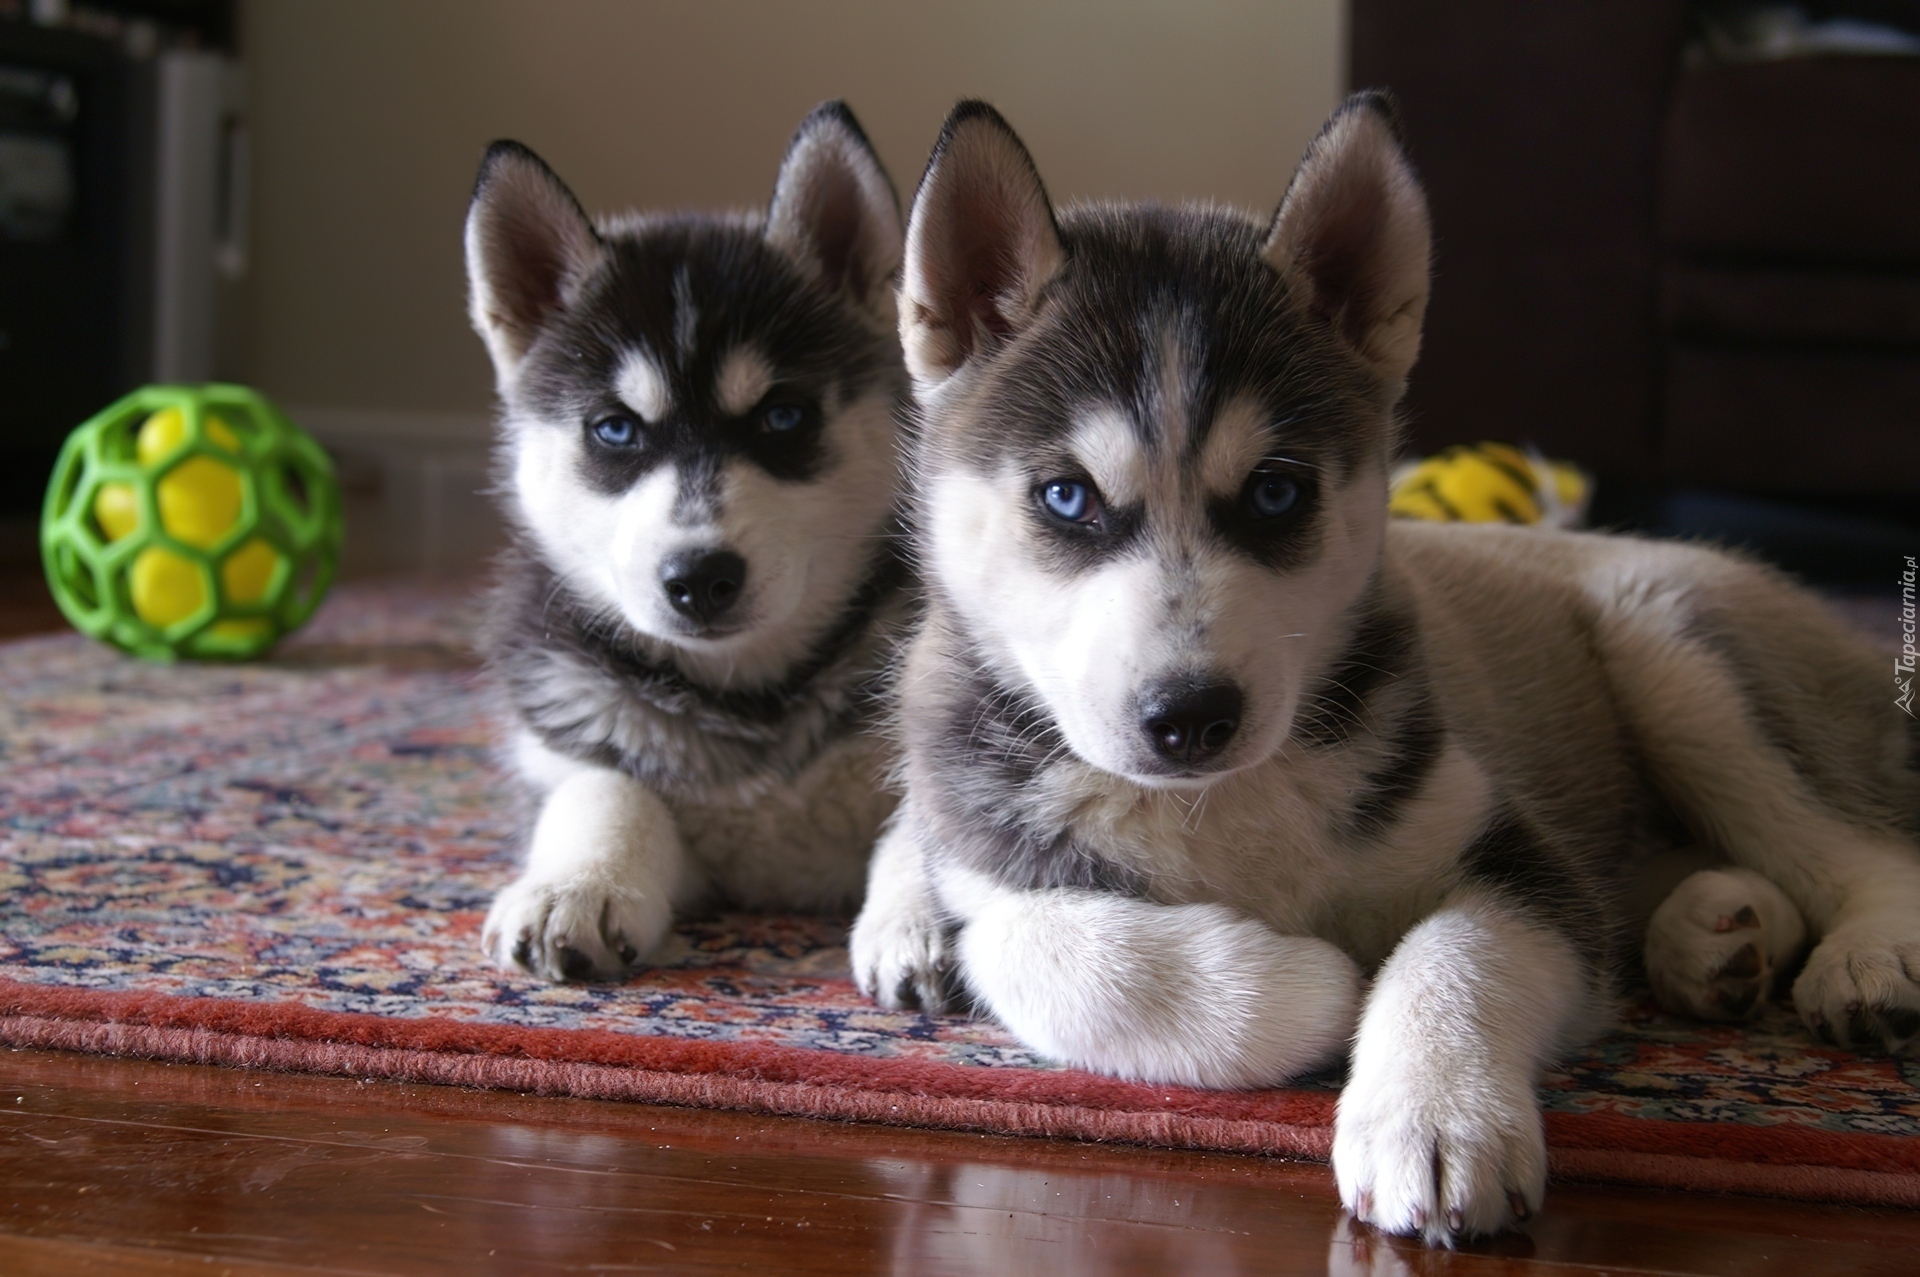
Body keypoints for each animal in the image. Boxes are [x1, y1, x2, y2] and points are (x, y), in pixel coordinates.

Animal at [468, 104, 910, 979]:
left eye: (782, 416)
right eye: (614, 428)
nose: (699, 576)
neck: (745, 699)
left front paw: (923, 914)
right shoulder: (568, 731)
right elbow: (602, 787)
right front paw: (577, 884)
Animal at [856, 92, 1920, 1244]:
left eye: (1276, 493)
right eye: (1065, 496)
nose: (1190, 717)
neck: (1216, 811)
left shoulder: (1512, 852)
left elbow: (1457, 950)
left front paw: (1436, 1113)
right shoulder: (993, 861)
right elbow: (1051, 955)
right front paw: (1315, 982)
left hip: (1677, 652)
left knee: (1864, 842)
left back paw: (1865, 957)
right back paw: (1717, 938)